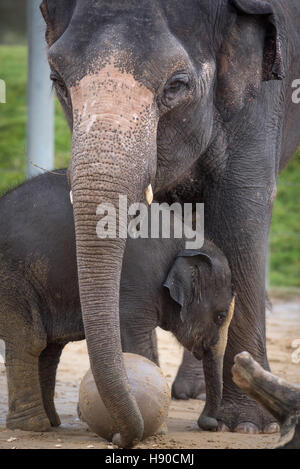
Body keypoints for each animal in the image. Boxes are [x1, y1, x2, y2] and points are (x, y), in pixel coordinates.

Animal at [0, 170, 234, 434]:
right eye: (220, 316)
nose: (210, 423)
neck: (184, 239)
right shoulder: (136, 282)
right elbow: (137, 340)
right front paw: (158, 430)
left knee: (50, 348)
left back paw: (51, 422)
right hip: (12, 277)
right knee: (30, 340)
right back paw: (32, 426)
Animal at [41, 0, 300, 446]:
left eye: (177, 84)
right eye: (57, 79)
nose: (209, 423)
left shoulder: (263, 90)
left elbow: (242, 209)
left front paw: (249, 425)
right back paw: (189, 391)